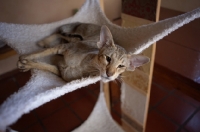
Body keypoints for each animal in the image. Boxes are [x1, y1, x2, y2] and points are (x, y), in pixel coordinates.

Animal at [17, 22, 149, 82]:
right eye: (108, 58)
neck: (83, 65)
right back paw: (44, 41)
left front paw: (27, 64)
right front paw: (25, 57)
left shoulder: (60, 72)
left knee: (61, 36)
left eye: (121, 66)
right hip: (74, 38)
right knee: (59, 33)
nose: (110, 74)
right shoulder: (62, 48)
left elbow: (45, 66)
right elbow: (41, 53)